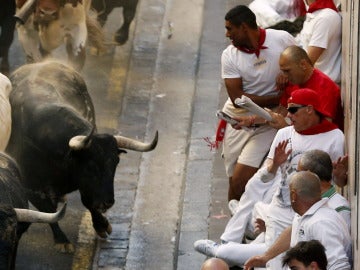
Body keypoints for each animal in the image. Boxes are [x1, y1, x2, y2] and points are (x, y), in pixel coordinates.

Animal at [5, 61, 158, 253]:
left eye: (116, 163)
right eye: (91, 165)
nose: (107, 202)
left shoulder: (85, 183)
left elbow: (87, 201)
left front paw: (101, 225)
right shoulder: (31, 188)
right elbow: (49, 212)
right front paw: (61, 240)